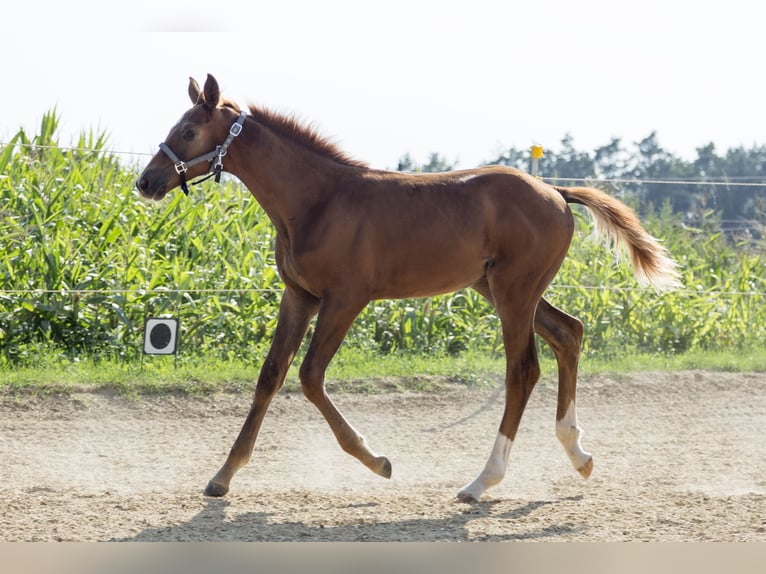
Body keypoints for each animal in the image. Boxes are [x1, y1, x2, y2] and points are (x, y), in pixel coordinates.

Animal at [135, 74, 680, 502]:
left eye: (188, 130)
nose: (146, 181)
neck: (318, 201)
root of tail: (556, 192)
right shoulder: (299, 296)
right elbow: (270, 375)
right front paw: (223, 476)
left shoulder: (345, 300)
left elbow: (309, 376)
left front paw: (377, 461)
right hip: (500, 288)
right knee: (569, 333)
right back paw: (578, 455)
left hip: (513, 292)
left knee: (523, 371)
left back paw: (481, 482)